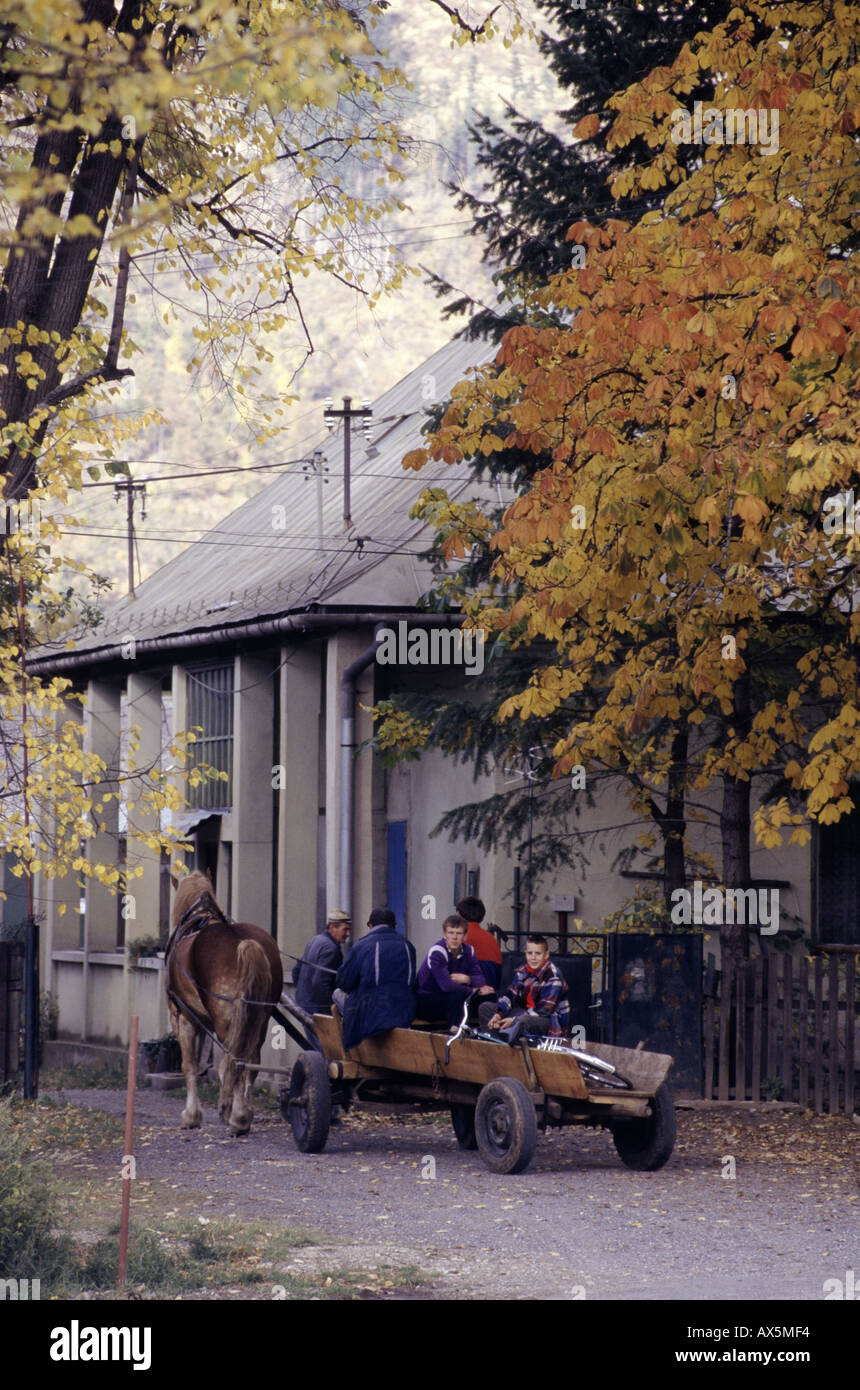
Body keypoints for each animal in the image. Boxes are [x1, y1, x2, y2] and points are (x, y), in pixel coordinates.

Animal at [162, 872, 282, 1134]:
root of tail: (246, 943)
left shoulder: (183, 1018)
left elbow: (190, 1065)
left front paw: (192, 1116)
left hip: (226, 1019)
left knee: (236, 1060)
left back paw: (237, 1118)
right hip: (258, 1019)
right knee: (249, 1062)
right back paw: (243, 1114)